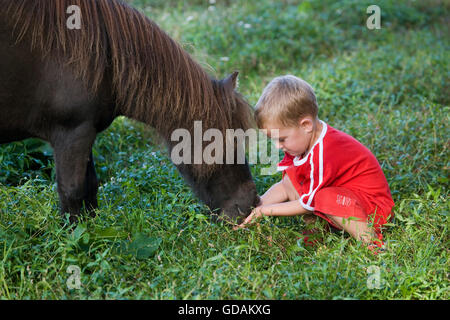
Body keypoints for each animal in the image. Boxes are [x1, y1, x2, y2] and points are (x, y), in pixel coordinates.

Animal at [0, 0, 260, 225]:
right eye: (223, 142)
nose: (250, 205)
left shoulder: (85, 132)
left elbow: (90, 188)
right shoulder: (71, 134)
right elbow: (72, 193)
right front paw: (75, 241)